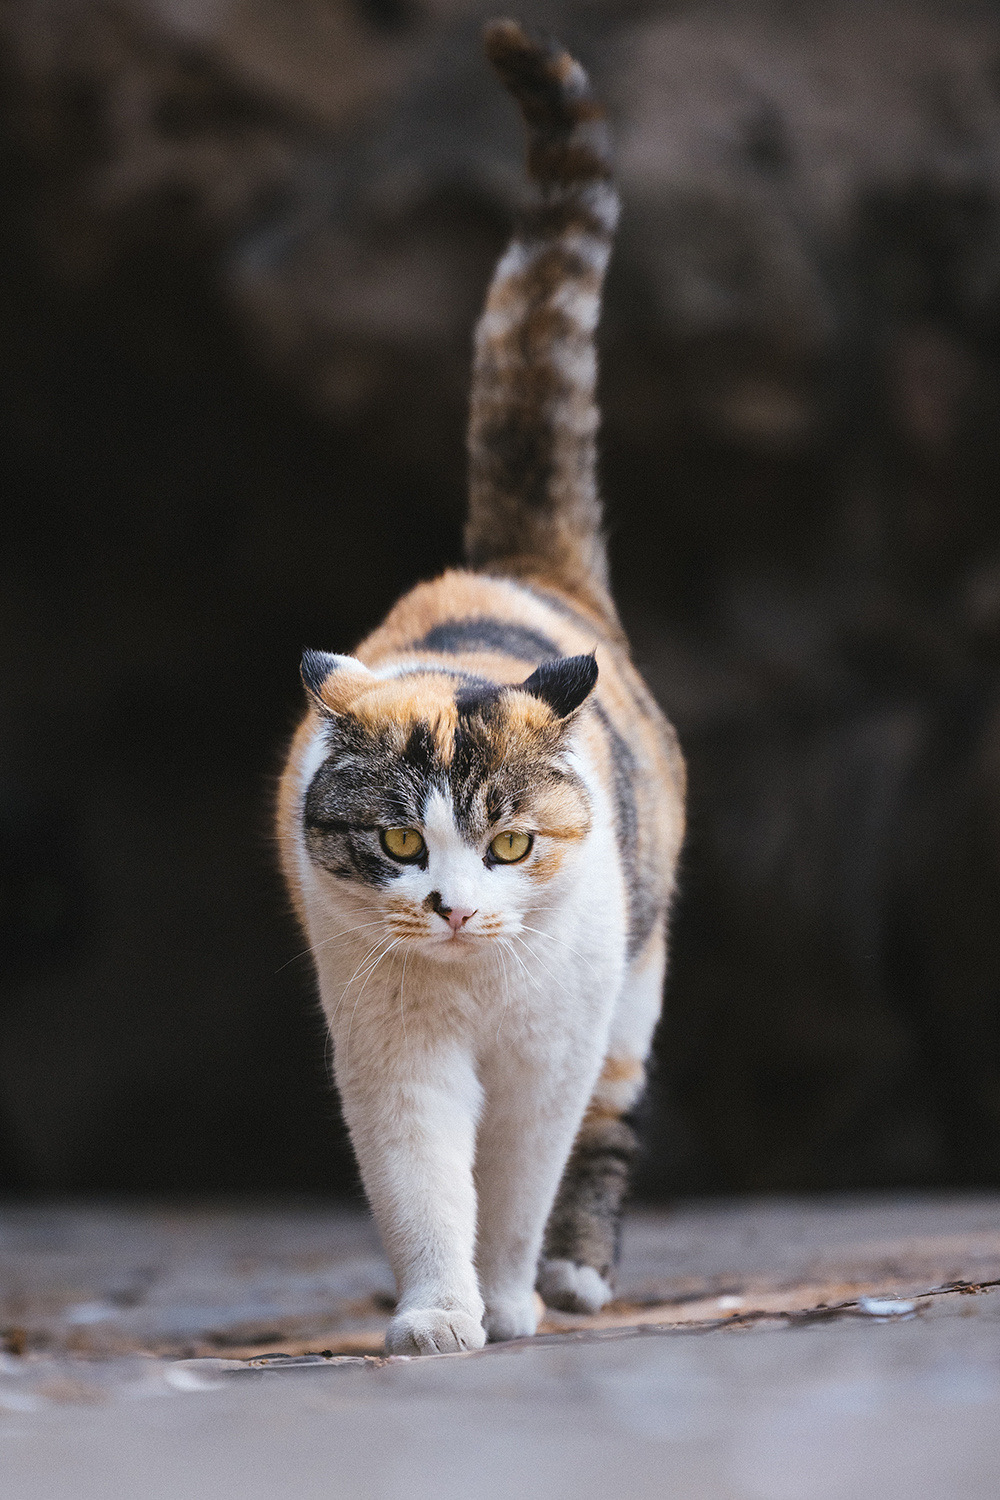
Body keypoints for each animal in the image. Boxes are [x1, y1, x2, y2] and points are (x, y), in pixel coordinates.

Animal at [280, 20, 689, 1362]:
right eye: (403, 842)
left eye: (509, 844)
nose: (454, 909)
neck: (469, 985)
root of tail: (510, 565)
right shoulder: (391, 1048)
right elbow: (422, 1183)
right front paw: (435, 1314)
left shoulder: (550, 1052)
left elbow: (517, 1178)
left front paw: (507, 1299)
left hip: (633, 993)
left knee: (611, 1124)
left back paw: (576, 1279)